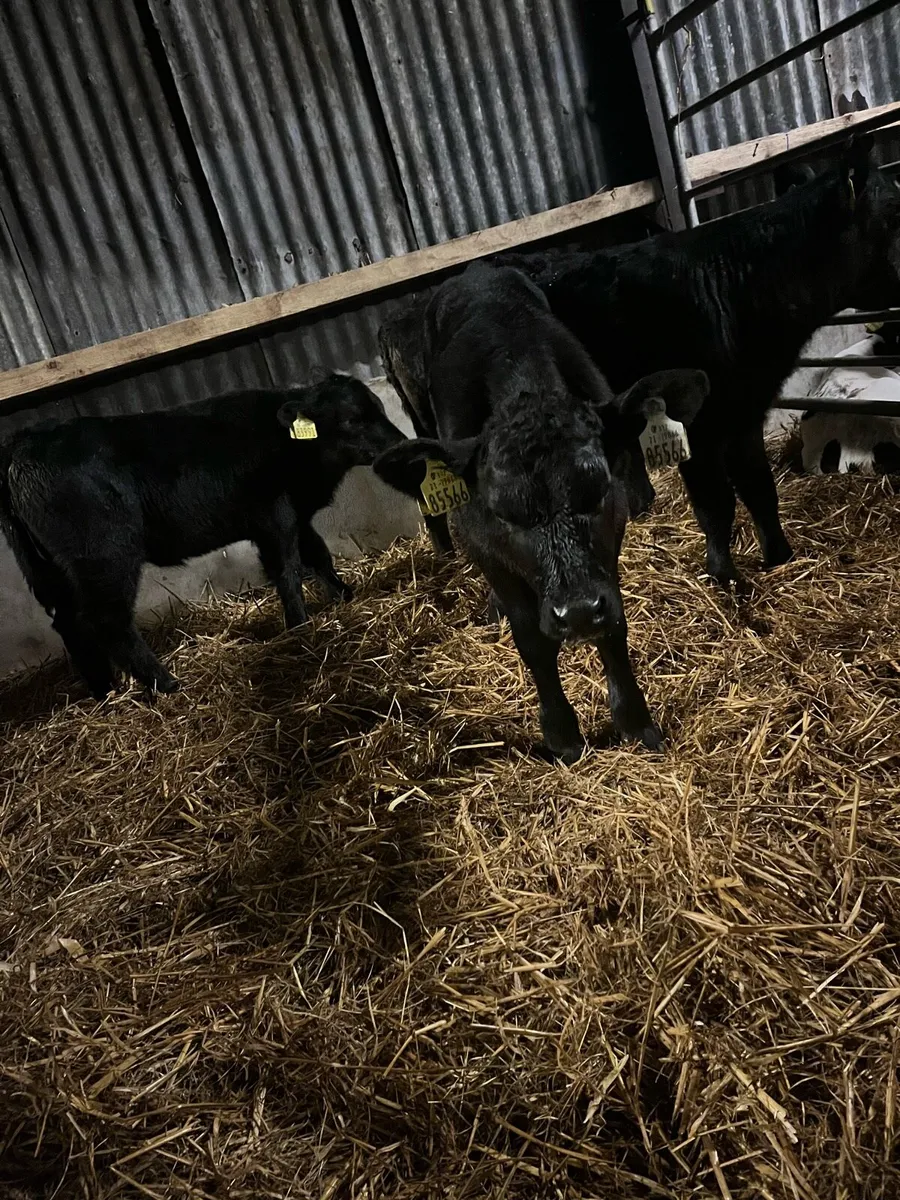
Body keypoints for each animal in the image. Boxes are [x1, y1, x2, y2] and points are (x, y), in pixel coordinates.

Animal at [0, 375, 405, 699]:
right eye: (351, 419)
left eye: (380, 408)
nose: (398, 444)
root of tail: (22, 444)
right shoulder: (274, 517)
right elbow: (288, 572)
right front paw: (300, 626)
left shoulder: (297, 517)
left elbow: (319, 556)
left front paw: (345, 595)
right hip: (105, 555)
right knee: (107, 621)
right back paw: (165, 684)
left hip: (51, 569)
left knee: (70, 624)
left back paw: (105, 692)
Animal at [373, 261, 709, 763]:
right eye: (503, 512)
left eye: (598, 489)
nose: (577, 613)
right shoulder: (486, 547)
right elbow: (530, 639)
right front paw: (562, 734)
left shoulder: (607, 550)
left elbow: (614, 626)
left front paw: (635, 722)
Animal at [490, 138, 900, 591]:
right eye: (896, 209)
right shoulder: (698, 425)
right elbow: (716, 502)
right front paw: (726, 578)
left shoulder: (744, 413)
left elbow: (759, 487)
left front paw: (780, 557)